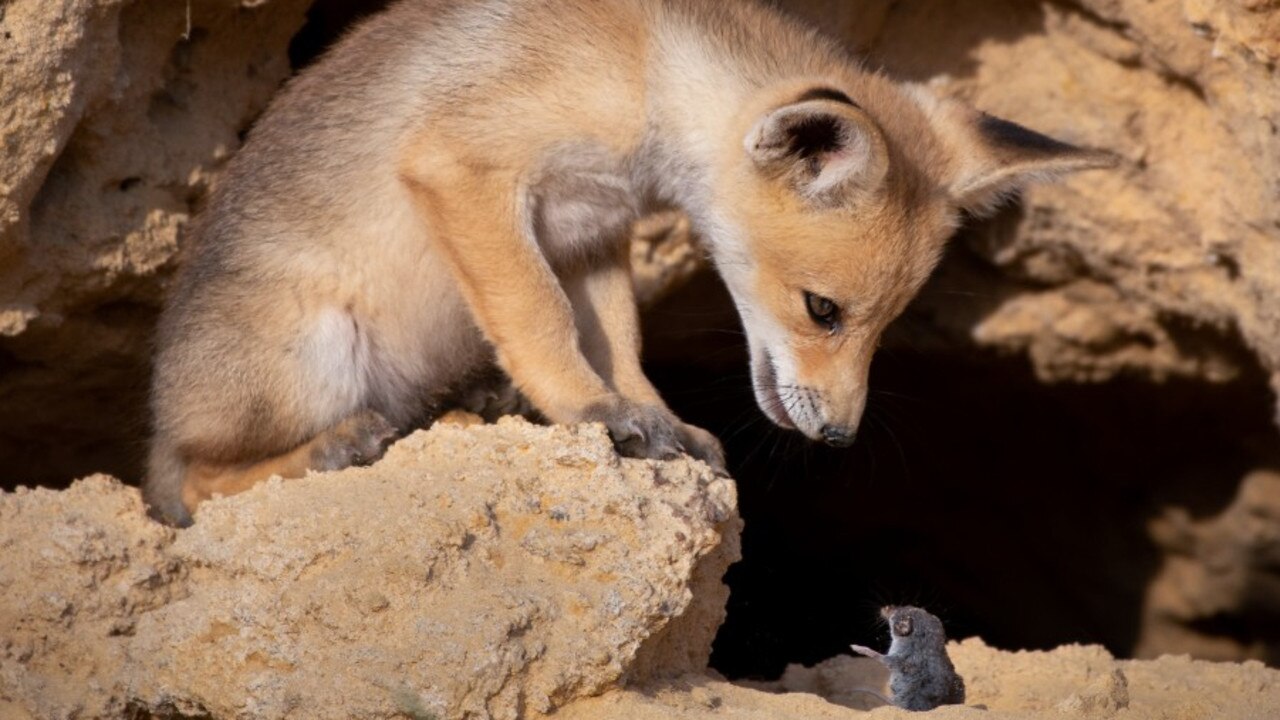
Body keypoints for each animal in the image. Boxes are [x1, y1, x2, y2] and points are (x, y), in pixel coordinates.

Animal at [145, 0, 1116, 525]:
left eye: (888, 327)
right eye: (824, 310)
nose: (839, 437)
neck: (645, 68)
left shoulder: (591, 234)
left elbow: (620, 344)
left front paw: (655, 420)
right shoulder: (465, 168)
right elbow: (539, 320)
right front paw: (587, 412)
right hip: (313, 354)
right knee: (191, 482)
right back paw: (328, 449)